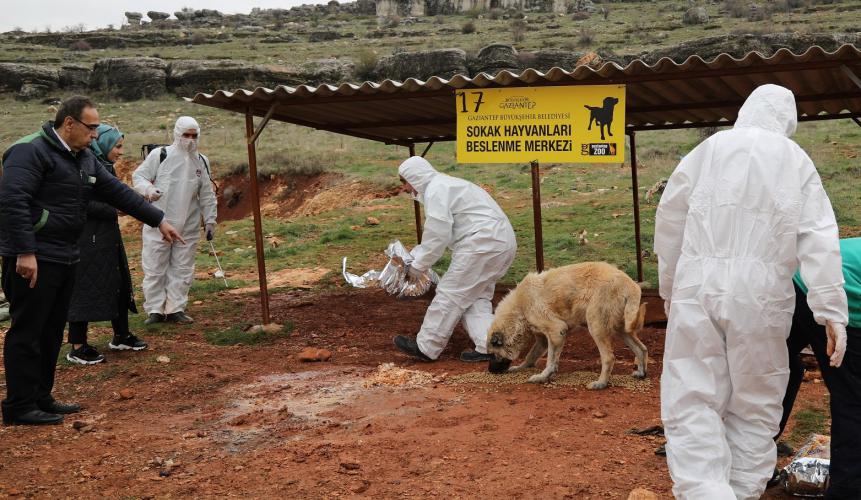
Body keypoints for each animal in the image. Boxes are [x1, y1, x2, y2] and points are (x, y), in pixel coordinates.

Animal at [484, 264, 644, 388]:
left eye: (493, 354)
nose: (490, 371)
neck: (519, 307)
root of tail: (630, 284)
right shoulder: (543, 339)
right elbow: (531, 355)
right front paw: (521, 367)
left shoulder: (557, 330)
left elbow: (550, 360)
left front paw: (543, 376)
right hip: (622, 329)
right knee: (641, 349)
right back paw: (641, 373)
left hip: (596, 326)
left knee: (609, 358)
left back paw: (601, 384)